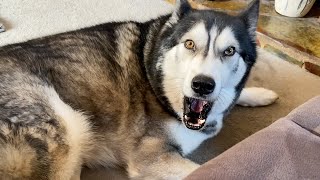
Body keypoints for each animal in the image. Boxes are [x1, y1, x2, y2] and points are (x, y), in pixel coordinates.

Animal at [0, 0, 276, 179]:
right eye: (189, 44)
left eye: (229, 51)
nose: (202, 84)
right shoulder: (150, 157)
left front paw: (260, 93)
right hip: (67, 127)